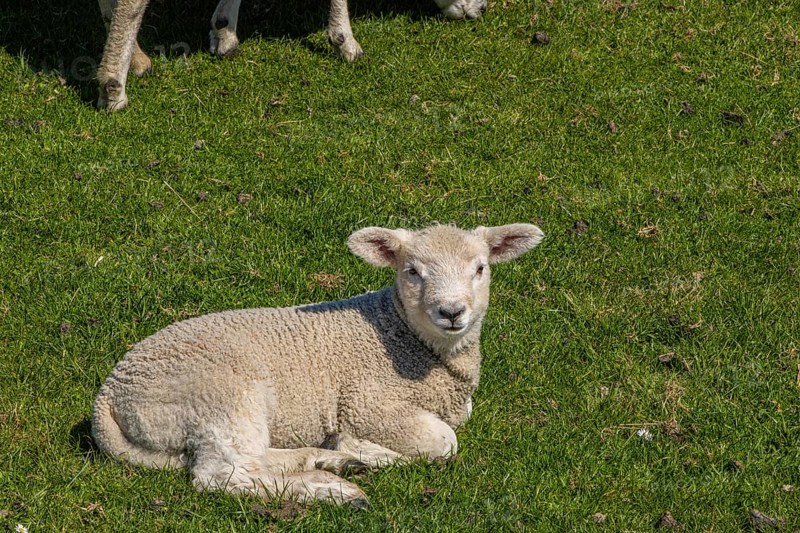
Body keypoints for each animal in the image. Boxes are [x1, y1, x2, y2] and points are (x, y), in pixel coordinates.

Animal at [92, 223, 544, 505]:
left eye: (480, 268)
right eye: (412, 271)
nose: (451, 312)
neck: (401, 335)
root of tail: (109, 396)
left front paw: (350, 449)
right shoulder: (368, 403)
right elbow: (444, 442)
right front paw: (362, 448)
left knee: (255, 458)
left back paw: (333, 460)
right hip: (219, 398)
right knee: (226, 476)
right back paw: (335, 490)